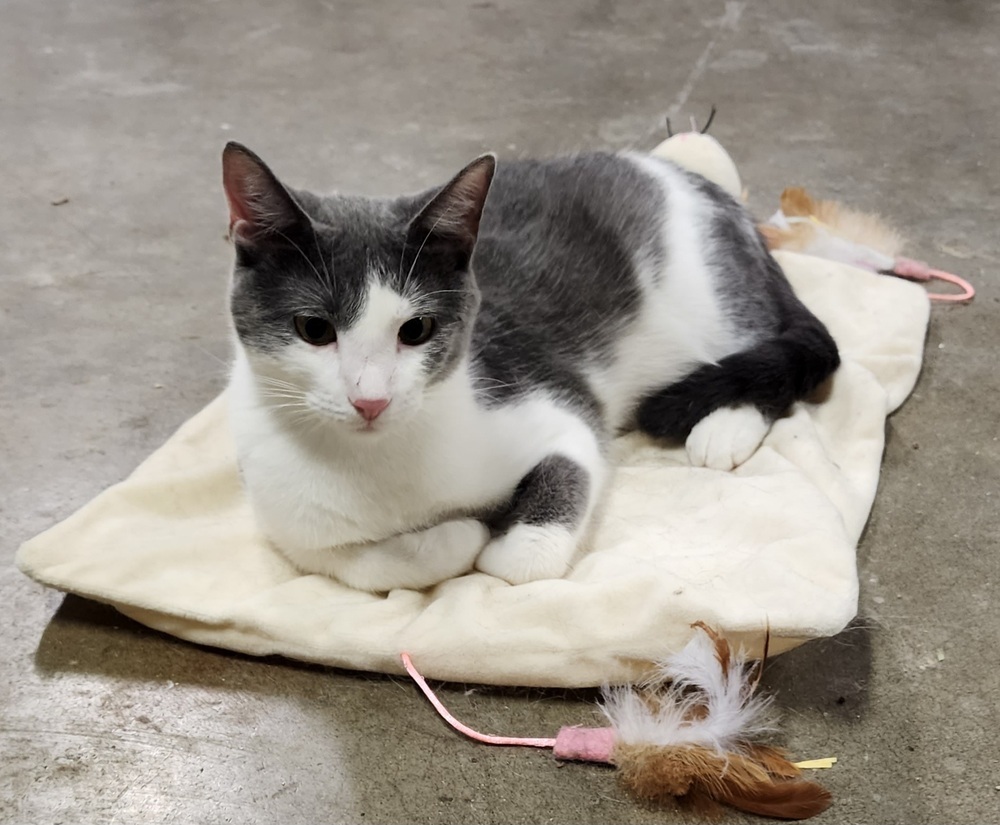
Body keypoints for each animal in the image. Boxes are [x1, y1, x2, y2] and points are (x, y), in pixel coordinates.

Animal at [223, 142, 840, 592]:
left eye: (415, 330)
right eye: (314, 329)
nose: (370, 399)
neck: (379, 465)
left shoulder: (557, 408)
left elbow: (539, 531)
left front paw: (501, 541)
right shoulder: (295, 529)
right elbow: (361, 566)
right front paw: (459, 535)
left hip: (716, 308)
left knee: (772, 351)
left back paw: (725, 426)